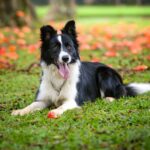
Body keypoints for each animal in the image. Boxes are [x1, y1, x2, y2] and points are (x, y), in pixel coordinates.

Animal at [11, 20, 150, 118]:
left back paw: (109, 98)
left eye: (69, 47)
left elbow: (61, 107)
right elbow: (31, 105)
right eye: (55, 47)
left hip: (104, 73)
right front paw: (20, 111)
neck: (58, 78)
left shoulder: (73, 101)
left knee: (120, 94)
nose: (65, 58)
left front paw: (55, 111)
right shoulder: (42, 100)